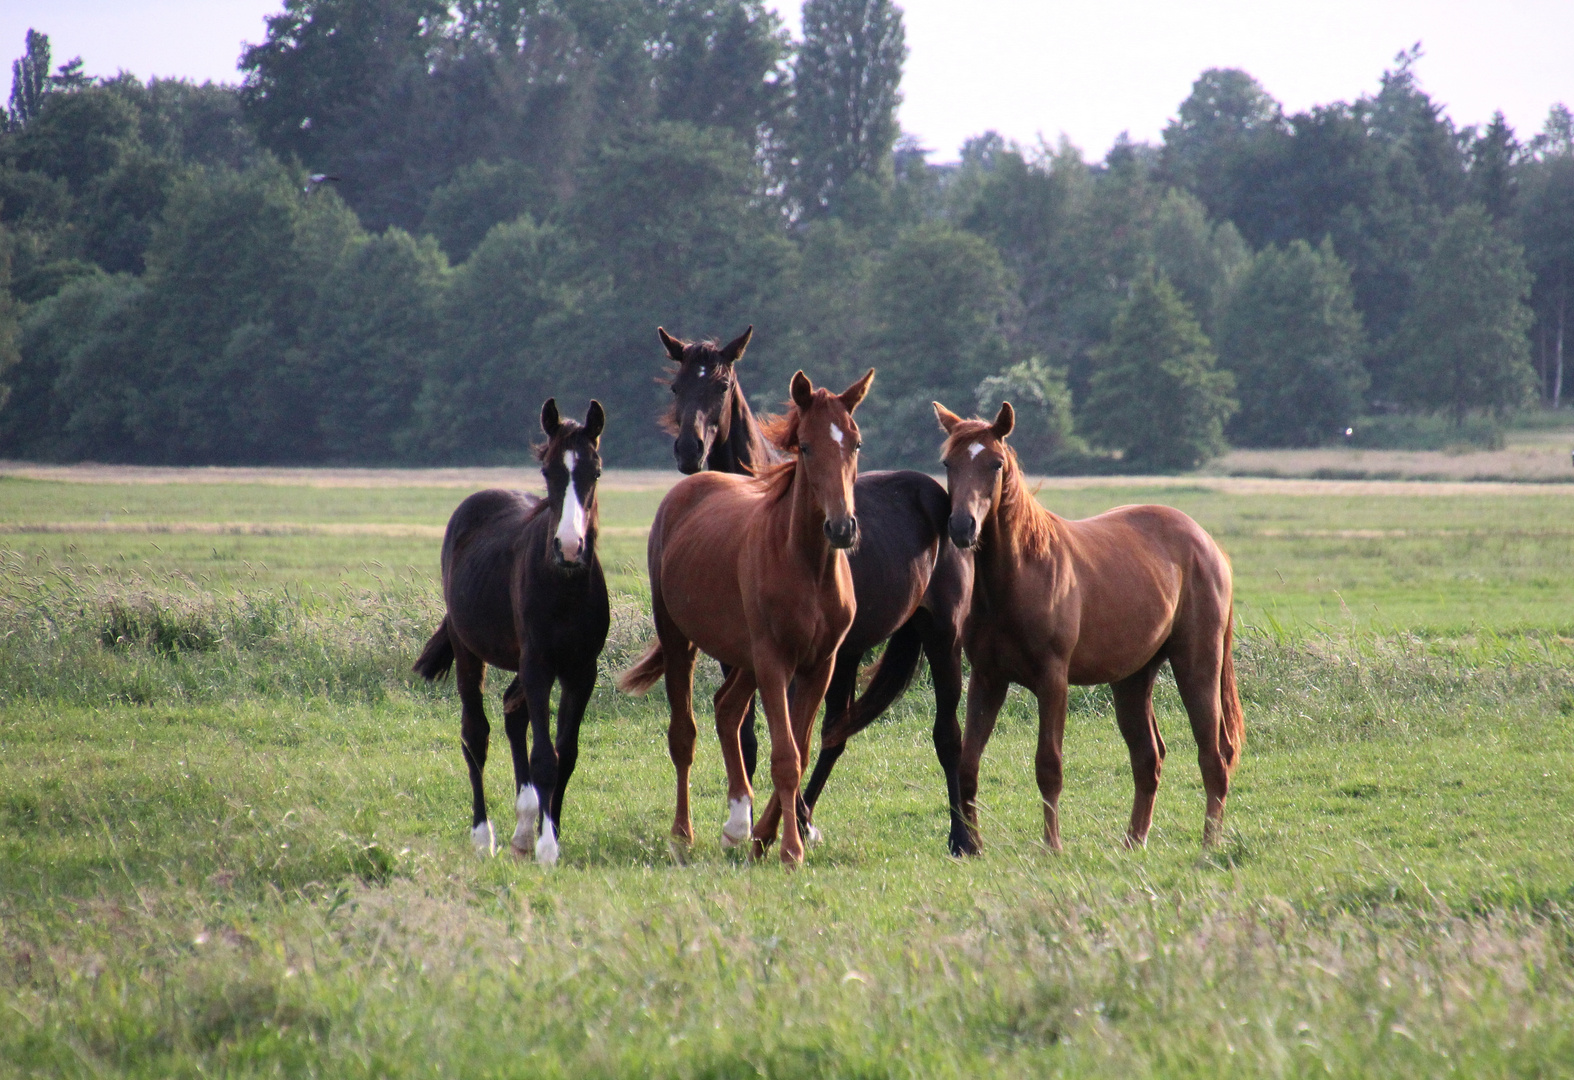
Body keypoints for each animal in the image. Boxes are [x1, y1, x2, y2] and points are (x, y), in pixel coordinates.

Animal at [412, 401, 607, 869]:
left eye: (595, 471)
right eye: (548, 471)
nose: (569, 548)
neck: (565, 587)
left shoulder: (581, 671)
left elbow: (565, 756)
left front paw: (547, 835)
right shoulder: (538, 665)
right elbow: (544, 758)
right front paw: (547, 849)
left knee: (512, 712)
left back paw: (521, 830)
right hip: (469, 649)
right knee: (476, 734)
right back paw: (484, 836)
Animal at [620, 368, 881, 869]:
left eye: (856, 443)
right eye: (805, 446)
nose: (842, 528)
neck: (807, 565)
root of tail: (686, 489)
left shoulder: (819, 665)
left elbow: (799, 749)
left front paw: (764, 837)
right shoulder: (775, 662)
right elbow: (785, 757)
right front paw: (790, 851)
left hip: (744, 656)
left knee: (726, 708)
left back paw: (737, 825)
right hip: (681, 639)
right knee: (684, 735)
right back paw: (683, 834)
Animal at [931, 401, 1240, 850]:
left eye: (995, 463)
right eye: (948, 463)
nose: (961, 526)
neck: (1021, 573)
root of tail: (1208, 545)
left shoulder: (1053, 680)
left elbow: (1049, 766)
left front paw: (1052, 846)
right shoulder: (988, 680)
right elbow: (968, 764)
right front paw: (972, 847)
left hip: (1197, 667)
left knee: (1213, 756)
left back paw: (1208, 846)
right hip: (1132, 680)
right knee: (1148, 757)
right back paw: (1133, 842)